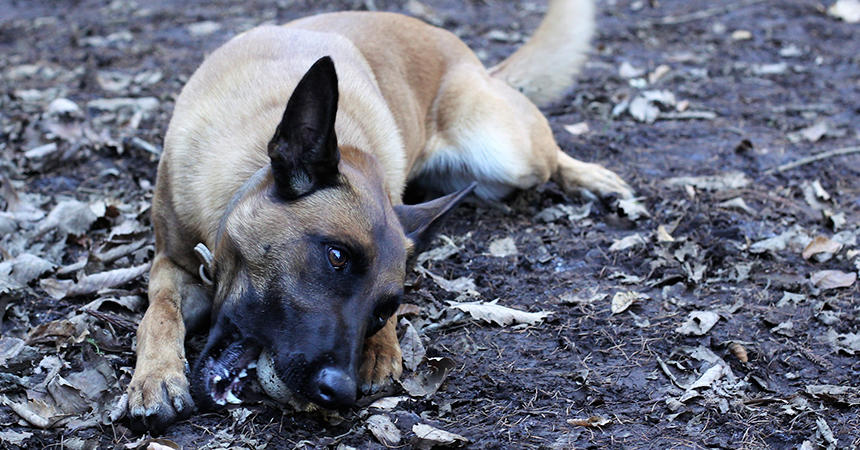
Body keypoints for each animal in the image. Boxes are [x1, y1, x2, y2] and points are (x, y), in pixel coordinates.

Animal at [129, 0, 632, 430]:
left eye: (383, 309)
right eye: (336, 257)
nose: (340, 392)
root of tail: (473, 61)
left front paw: (382, 350)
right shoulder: (171, 262)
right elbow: (159, 311)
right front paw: (155, 375)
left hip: (510, 154)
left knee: (550, 153)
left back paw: (593, 178)